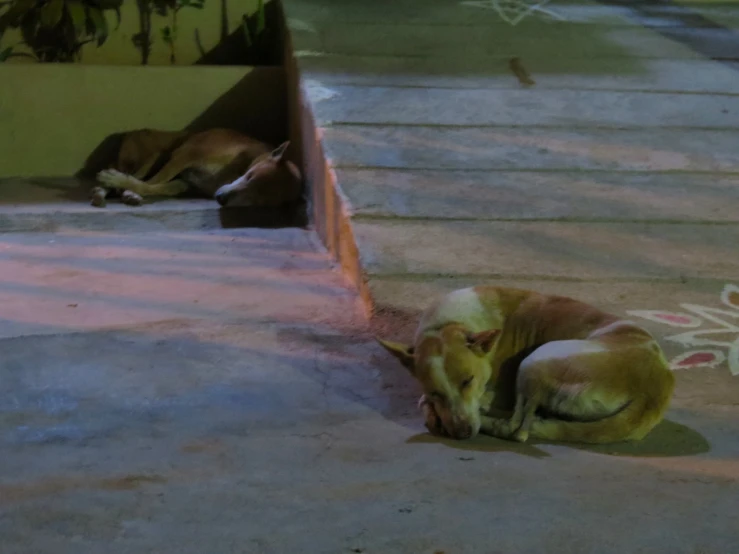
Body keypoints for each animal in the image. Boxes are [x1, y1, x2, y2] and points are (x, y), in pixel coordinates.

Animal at [92, 128, 300, 208]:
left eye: (259, 201)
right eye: (250, 176)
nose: (221, 198)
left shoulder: (184, 182)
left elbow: (155, 185)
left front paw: (131, 191)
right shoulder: (185, 154)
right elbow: (152, 180)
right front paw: (127, 189)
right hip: (155, 154)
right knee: (130, 172)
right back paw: (105, 186)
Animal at [382, 286, 676, 442]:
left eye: (468, 381)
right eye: (436, 391)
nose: (463, 433)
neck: (449, 324)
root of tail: (651, 391)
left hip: (534, 361)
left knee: (517, 429)